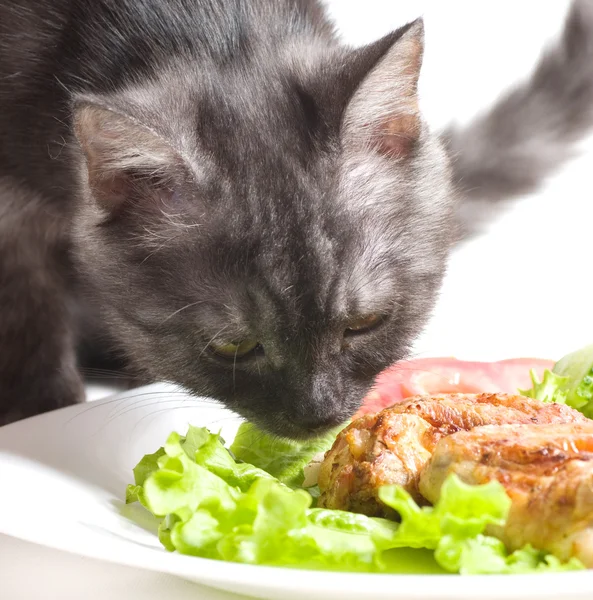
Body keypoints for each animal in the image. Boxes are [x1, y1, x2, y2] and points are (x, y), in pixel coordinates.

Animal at [1, 0, 592, 436]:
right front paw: (42, 411)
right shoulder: (13, 218)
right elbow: (28, 320)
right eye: (233, 346)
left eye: (367, 322)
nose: (319, 416)